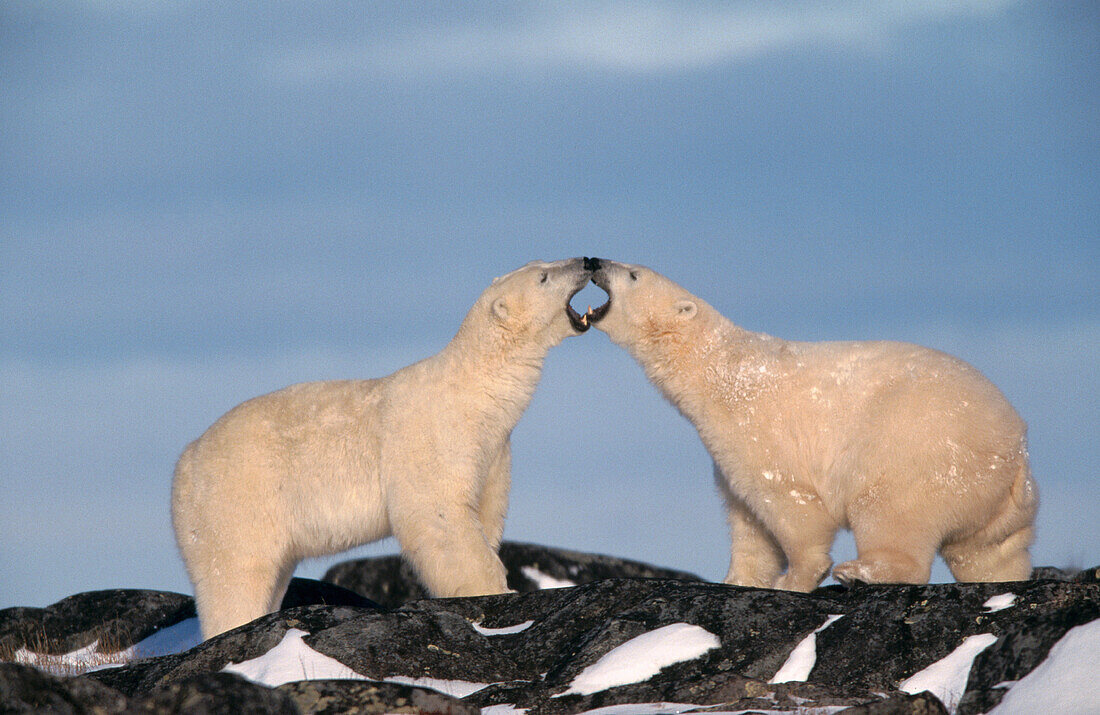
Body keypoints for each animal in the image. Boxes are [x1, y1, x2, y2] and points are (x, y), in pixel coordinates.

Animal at [171, 258, 598, 638]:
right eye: (543, 276)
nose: (587, 261)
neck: (476, 393)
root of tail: (186, 460)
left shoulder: (493, 451)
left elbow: (485, 510)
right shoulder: (434, 436)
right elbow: (440, 516)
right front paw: (494, 588)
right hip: (237, 500)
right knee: (236, 573)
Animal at [589, 258, 1034, 589]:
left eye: (632, 273)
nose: (594, 261)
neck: (720, 372)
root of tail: (1016, 450)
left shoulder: (757, 427)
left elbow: (789, 503)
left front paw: (794, 579)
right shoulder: (725, 454)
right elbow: (747, 521)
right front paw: (736, 580)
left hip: (921, 451)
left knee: (891, 510)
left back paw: (859, 571)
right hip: (994, 500)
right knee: (990, 551)